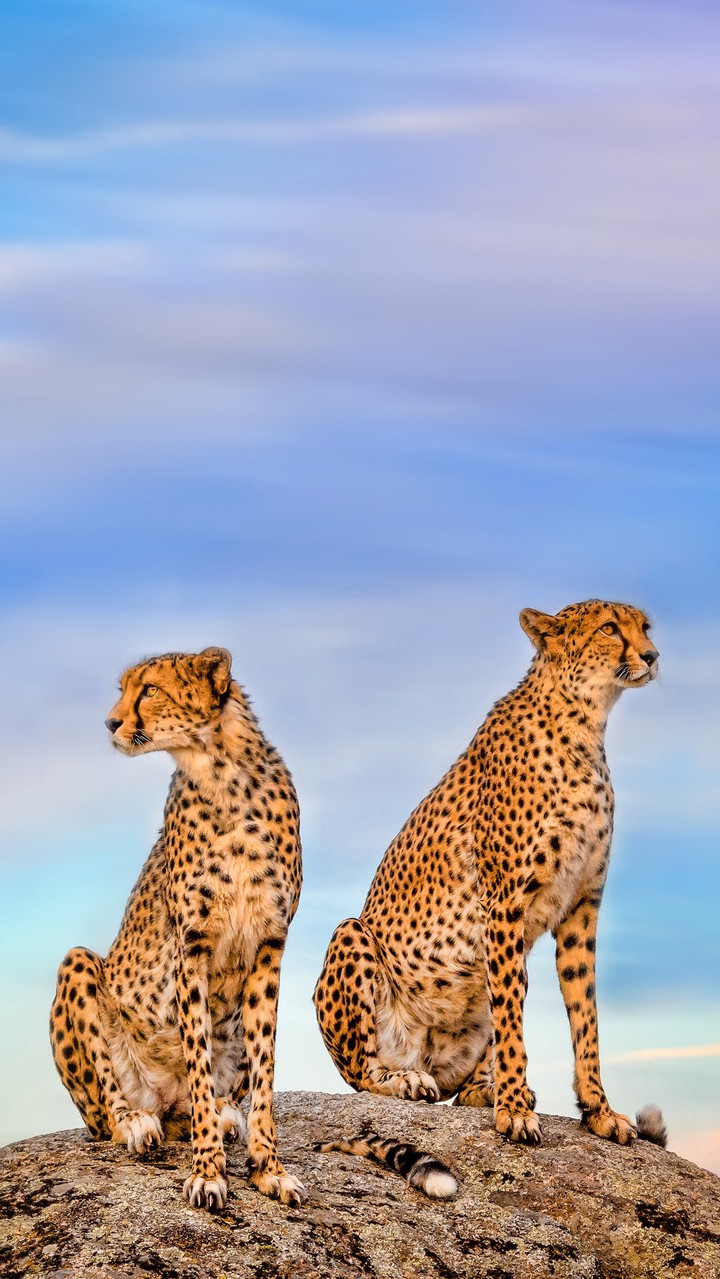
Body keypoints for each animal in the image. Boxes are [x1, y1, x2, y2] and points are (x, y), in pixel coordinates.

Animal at [50, 646, 305, 1211]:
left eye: (149, 689)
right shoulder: (192, 946)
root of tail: (164, 1104)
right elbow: (197, 1054)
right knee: (108, 1113)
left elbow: (264, 1069)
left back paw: (223, 1115)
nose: (110, 722)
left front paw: (269, 1168)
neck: (223, 776)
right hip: (78, 965)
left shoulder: (269, 948)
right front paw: (208, 1172)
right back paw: (137, 1122)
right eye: (124, 689)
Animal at [314, 600, 667, 1195]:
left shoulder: (581, 908)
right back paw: (408, 1082)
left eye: (645, 626)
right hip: (352, 937)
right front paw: (516, 1112)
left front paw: (597, 1111)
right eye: (609, 628)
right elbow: (515, 1014)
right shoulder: (504, 906)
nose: (653, 655)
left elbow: (586, 1014)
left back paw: (482, 1088)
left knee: (464, 1074)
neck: (585, 722)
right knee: (363, 1075)